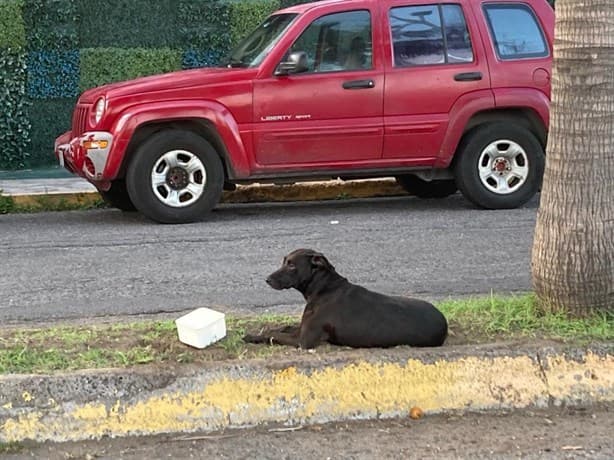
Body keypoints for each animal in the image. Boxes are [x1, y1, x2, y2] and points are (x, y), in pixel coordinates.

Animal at [243, 250, 450, 350]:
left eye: (292, 265)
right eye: (285, 261)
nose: (267, 279)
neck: (324, 288)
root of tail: (444, 324)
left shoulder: (304, 341)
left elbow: (273, 335)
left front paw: (251, 336)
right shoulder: (302, 328)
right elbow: (283, 328)